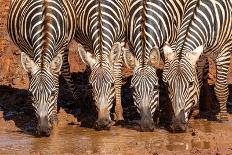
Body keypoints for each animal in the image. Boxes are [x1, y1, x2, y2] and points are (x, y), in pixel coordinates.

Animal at [7, 0, 76, 136]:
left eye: (52, 93)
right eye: (32, 94)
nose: (43, 129)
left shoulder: (59, 48)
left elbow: (56, 82)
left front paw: (54, 118)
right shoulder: (27, 49)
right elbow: (30, 76)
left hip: (65, 46)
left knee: (65, 69)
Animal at [72, 0, 129, 130]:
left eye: (112, 85)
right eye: (91, 86)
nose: (103, 122)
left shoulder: (120, 40)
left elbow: (117, 76)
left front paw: (119, 114)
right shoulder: (86, 43)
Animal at [123, 0, 187, 131]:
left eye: (155, 87)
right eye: (133, 89)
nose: (146, 126)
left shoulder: (171, 44)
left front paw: (170, 114)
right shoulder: (132, 47)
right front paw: (156, 116)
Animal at [163, 0, 232, 131]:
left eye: (190, 84)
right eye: (168, 84)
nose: (177, 125)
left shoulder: (224, 52)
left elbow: (220, 89)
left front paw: (224, 118)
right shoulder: (200, 56)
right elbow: (199, 83)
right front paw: (194, 111)